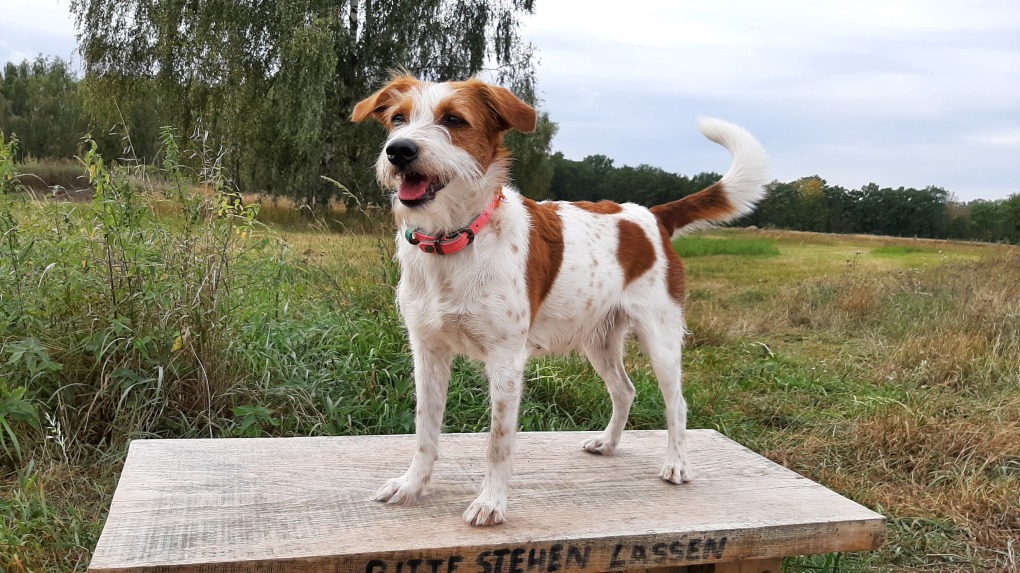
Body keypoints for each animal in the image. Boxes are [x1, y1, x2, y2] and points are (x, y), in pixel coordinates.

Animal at [350, 76, 767, 526]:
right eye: (398, 119)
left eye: (454, 120)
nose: (399, 150)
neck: (456, 240)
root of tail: (652, 216)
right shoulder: (428, 351)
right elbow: (425, 429)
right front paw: (412, 485)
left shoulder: (506, 361)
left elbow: (498, 441)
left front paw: (492, 502)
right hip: (599, 340)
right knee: (625, 391)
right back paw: (608, 443)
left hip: (662, 338)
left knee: (677, 404)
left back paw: (677, 464)